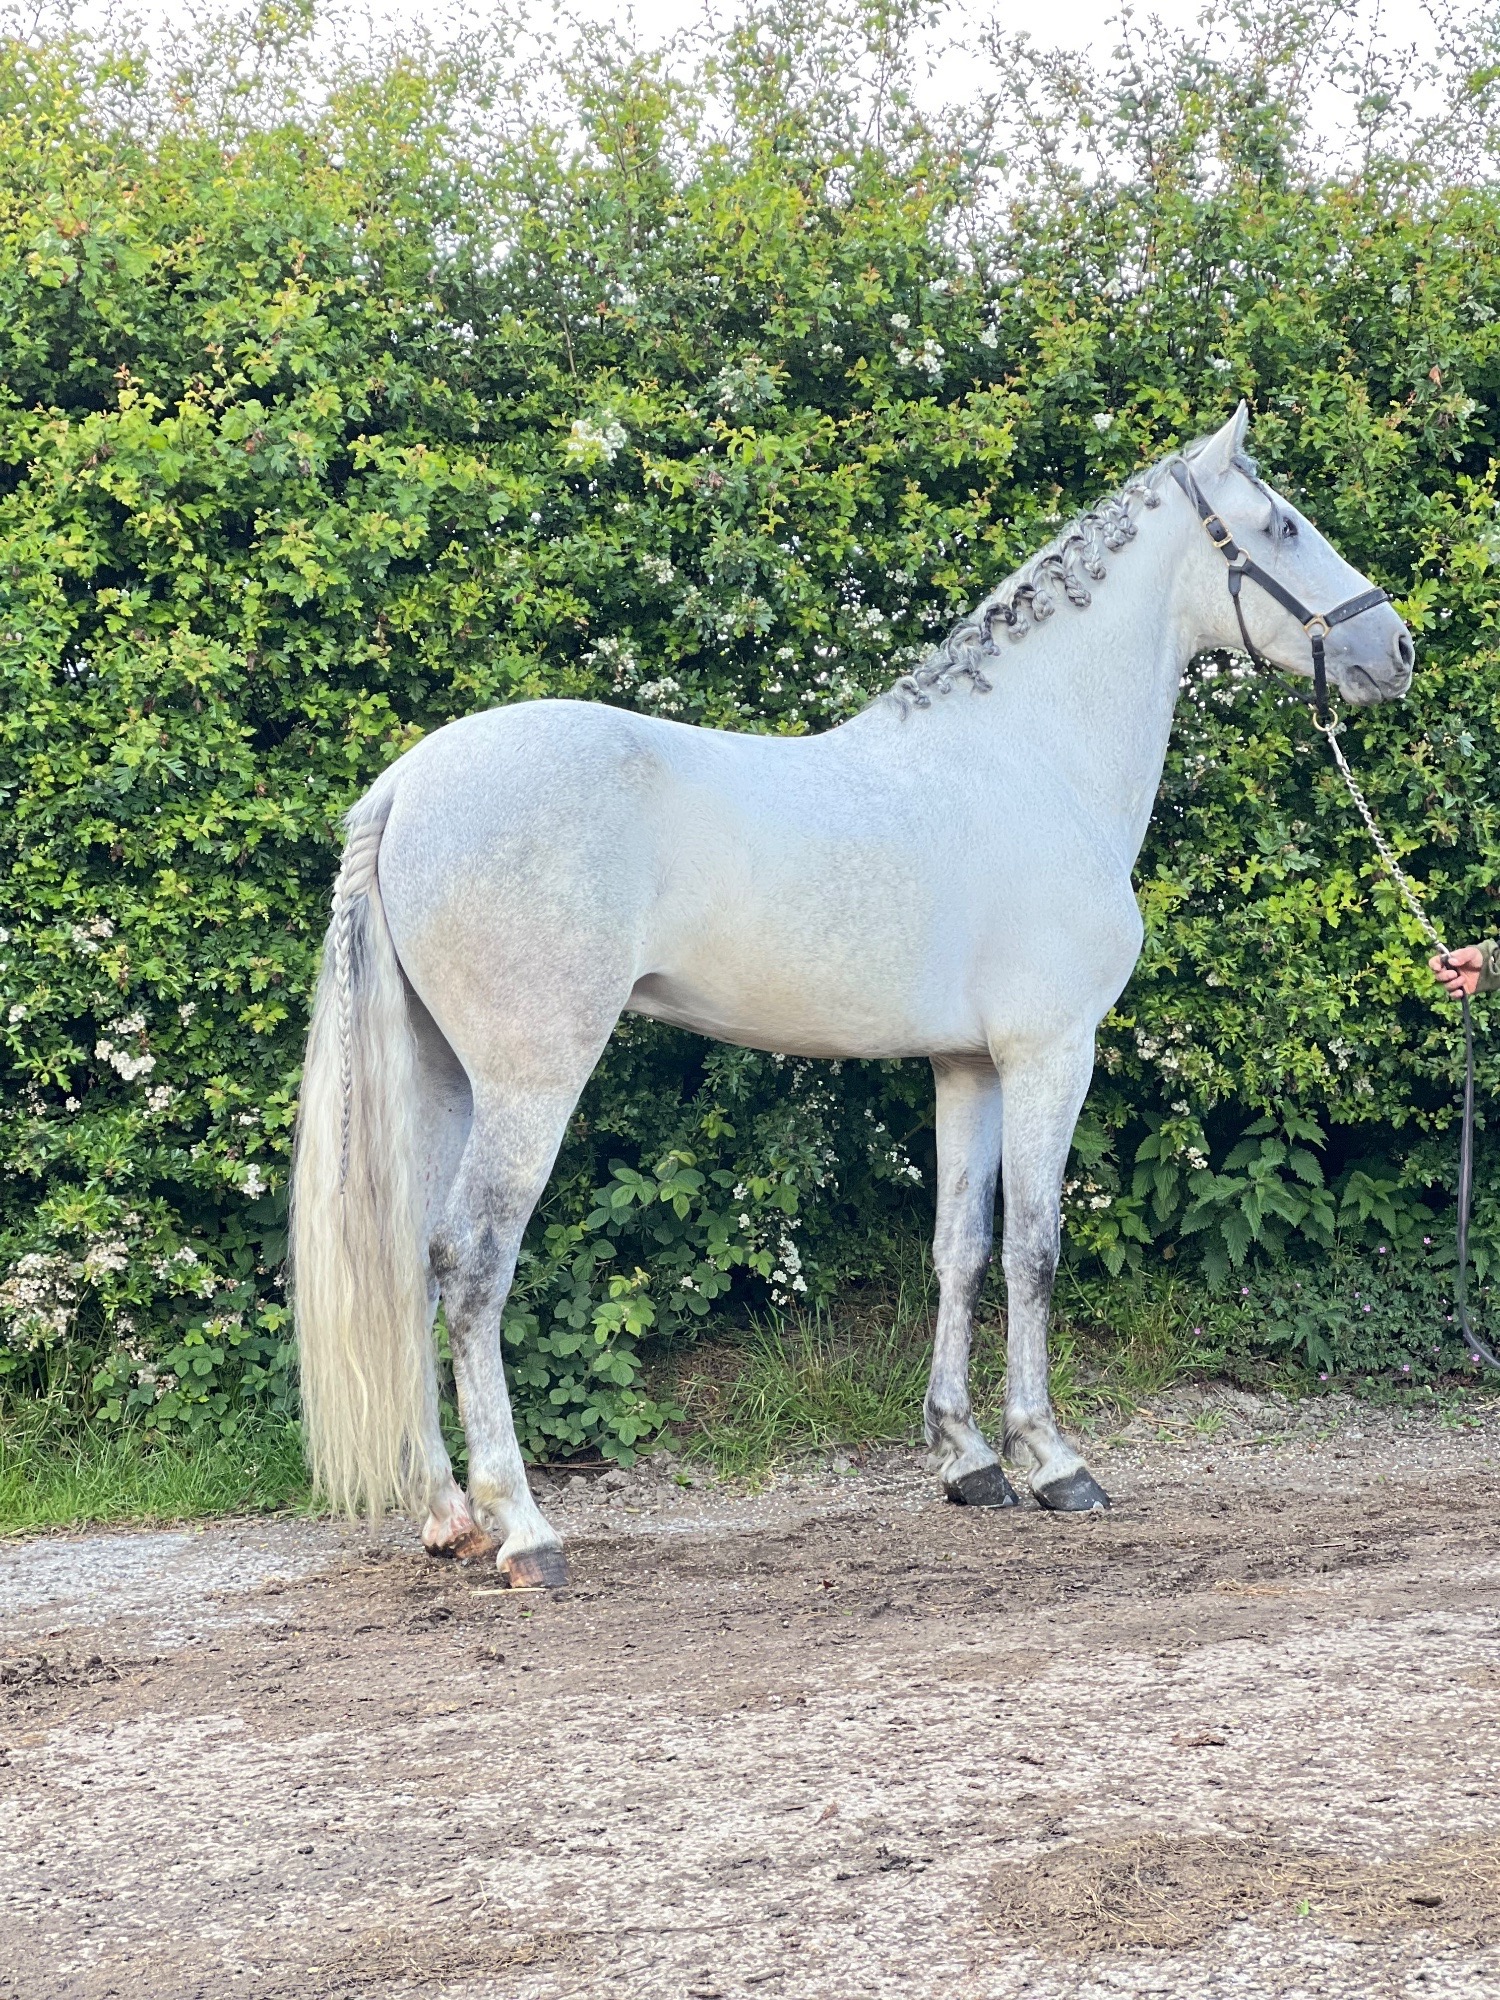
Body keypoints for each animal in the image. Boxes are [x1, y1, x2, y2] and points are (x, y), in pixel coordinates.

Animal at [289, 403, 1414, 1586]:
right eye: (1282, 525)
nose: (1396, 649)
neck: (1032, 759)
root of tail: (406, 784)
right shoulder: (1052, 1050)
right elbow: (1036, 1248)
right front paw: (1055, 1463)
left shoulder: (967, 1065)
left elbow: (961, 1248)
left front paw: (968, 1461)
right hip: (528, 1082)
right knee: (471, 1265)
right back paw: (525, 1529)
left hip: (444, 1079)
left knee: (413, 1262)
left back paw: (449, 1514)